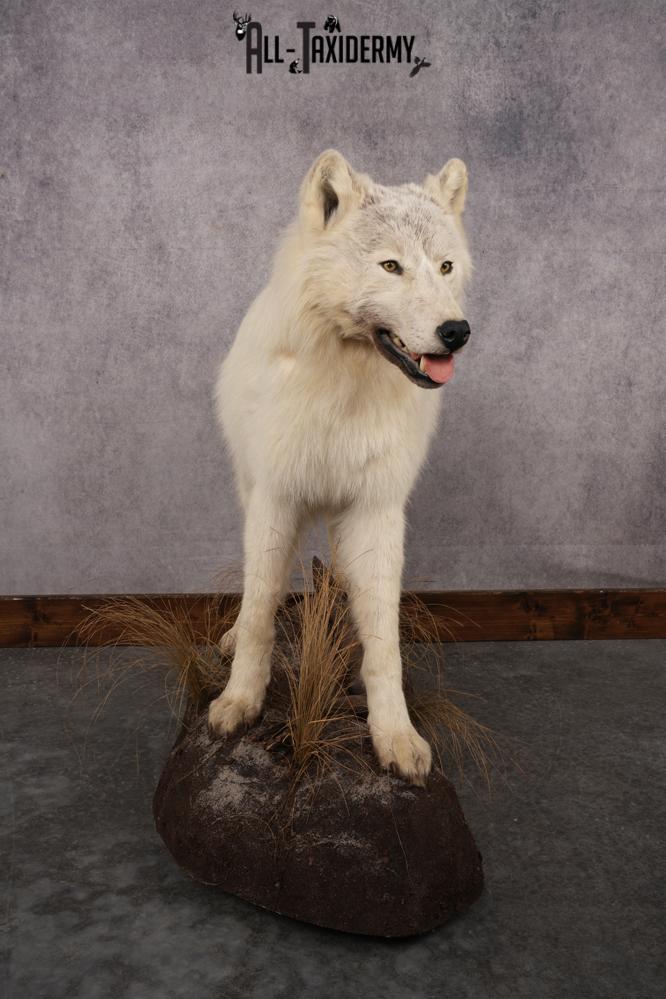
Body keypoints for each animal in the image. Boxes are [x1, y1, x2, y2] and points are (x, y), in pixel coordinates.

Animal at [209, 149, 472, 785]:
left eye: (445, 267)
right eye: (391, 266)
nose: (456, 332)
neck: (345, 390)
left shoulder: (376, 510)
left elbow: (383, 643)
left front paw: (395, 735)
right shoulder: (276, 499)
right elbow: (261, 610)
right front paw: (239, 701)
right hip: (254, 498)